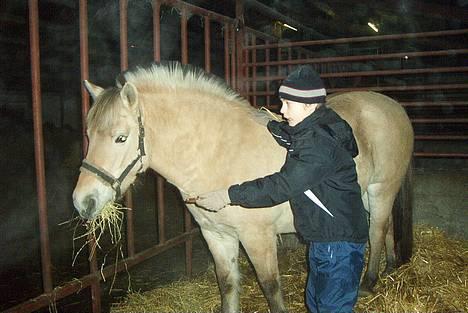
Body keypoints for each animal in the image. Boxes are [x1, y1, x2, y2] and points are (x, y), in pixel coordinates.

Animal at [73, 62, 414, 310]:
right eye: (87, 134)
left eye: (121, 138)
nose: (82, 201)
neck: (217, 153)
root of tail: (394, 106)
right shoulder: (216, 235)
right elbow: (227, 284)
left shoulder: (258, 238)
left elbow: (271, 288)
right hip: (366, 196)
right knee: (383, 228)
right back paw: (390, 266)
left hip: (382, 189)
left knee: (376, 229)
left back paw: (369, 282)